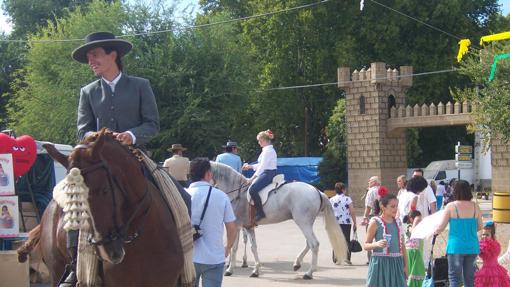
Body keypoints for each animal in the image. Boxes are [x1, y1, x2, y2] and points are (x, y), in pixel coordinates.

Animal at [209, 163, 348, 280]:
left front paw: (229, 270)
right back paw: (297, 263)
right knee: (309, 243)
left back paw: (309, 273)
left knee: (314, 244)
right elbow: (253, 247)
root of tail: (317, 191)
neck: (237, 193)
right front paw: (255, 270)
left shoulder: (237, 225)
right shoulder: (248, 227)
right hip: (307, 223)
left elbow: (234, 248)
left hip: (303, 223)